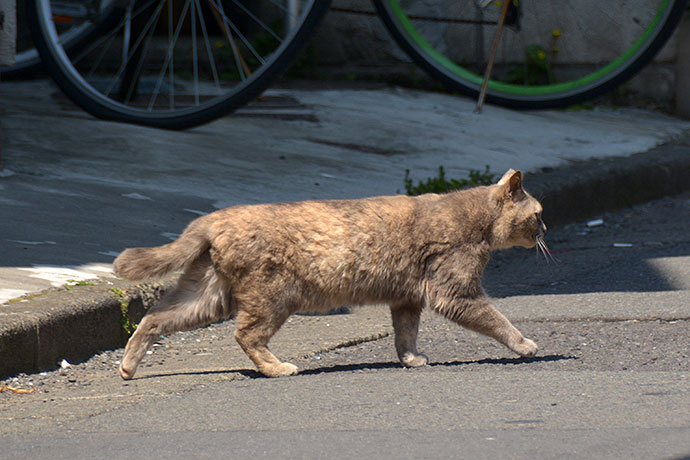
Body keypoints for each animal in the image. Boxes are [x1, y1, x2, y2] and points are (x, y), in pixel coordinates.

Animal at [113, 168, 544, 378]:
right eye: (538, 213)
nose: (545, 229)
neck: (476, 220)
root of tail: (214, 218)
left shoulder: (406, 299)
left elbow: (405, 333)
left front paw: (411, 359)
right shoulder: (455, 292)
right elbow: (497, 319)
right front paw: (524, 345)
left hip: (206, 296)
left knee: (154, 318)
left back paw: (128, 368)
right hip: (272, 298)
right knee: (246, 335)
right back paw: (277, 369)